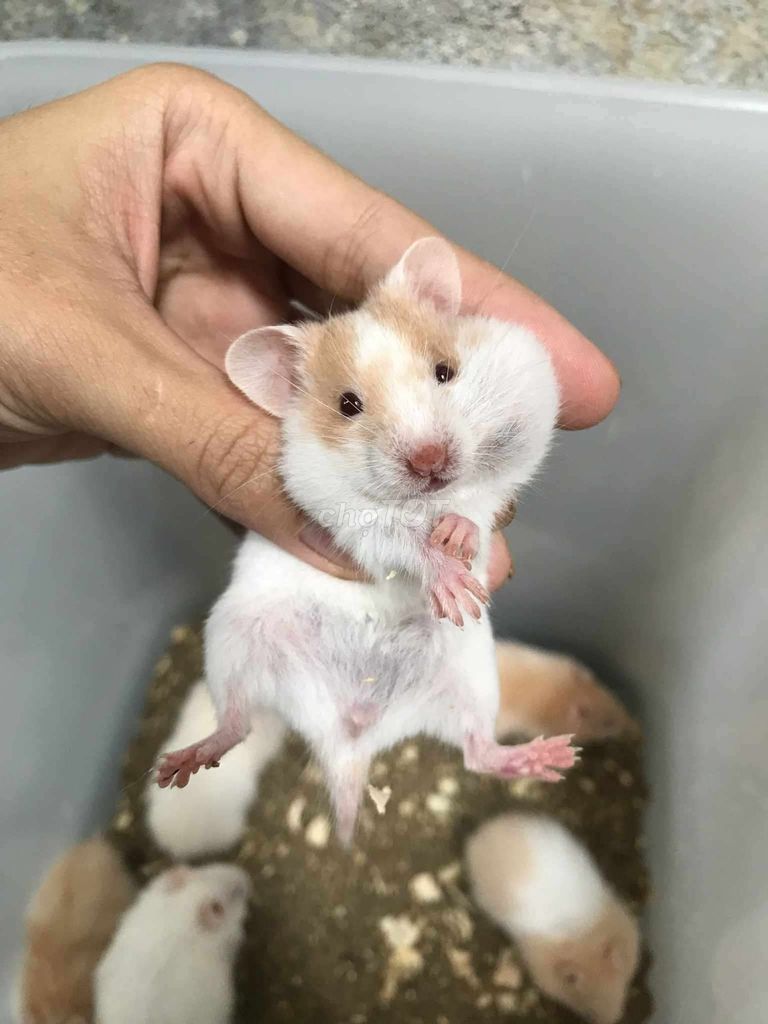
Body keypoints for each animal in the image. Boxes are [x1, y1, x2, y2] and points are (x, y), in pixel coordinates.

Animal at [157, 236, 577, 843]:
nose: (431, 462)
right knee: (235, 722)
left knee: (478, 751)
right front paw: (452, 583)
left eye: (445, 371)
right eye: (347, 405)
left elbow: (483, 495)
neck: (422, 499)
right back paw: (178, 766)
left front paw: (459, 537)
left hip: (471, 674)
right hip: (234, 639)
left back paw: (553, 758)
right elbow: (395, 538)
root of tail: (352, 736)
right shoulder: (335, 510)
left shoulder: (528, 405)